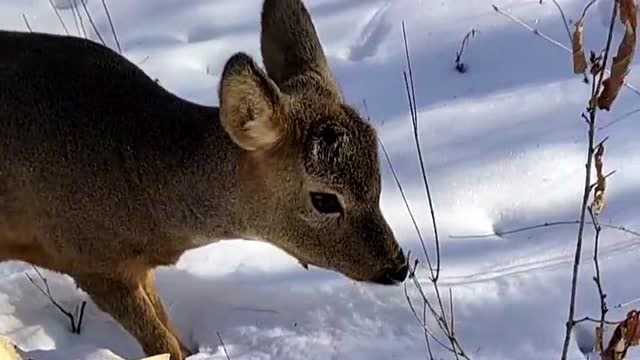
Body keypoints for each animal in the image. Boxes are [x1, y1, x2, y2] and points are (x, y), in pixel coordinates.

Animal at [0, 0, 408, 358]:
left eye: (378, 179)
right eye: (324, 199)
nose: (397, 267)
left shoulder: (136, 266)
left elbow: (169, 327)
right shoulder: (89, 257)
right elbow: (162, 344)